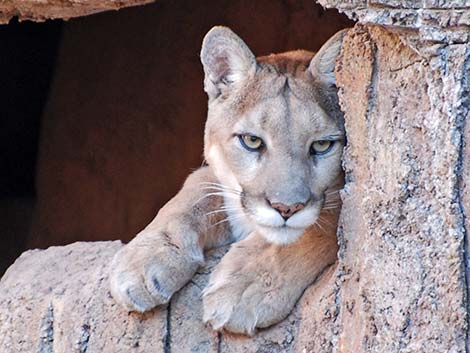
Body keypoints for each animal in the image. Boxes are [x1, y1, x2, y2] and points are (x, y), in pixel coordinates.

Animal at [109, 26, 346, 334]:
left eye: (321, 145)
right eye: (252, 141)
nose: (286, 208)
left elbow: (321, 223)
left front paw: (246, 287)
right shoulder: (214, 177)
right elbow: (193, 192)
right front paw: (144, 260)